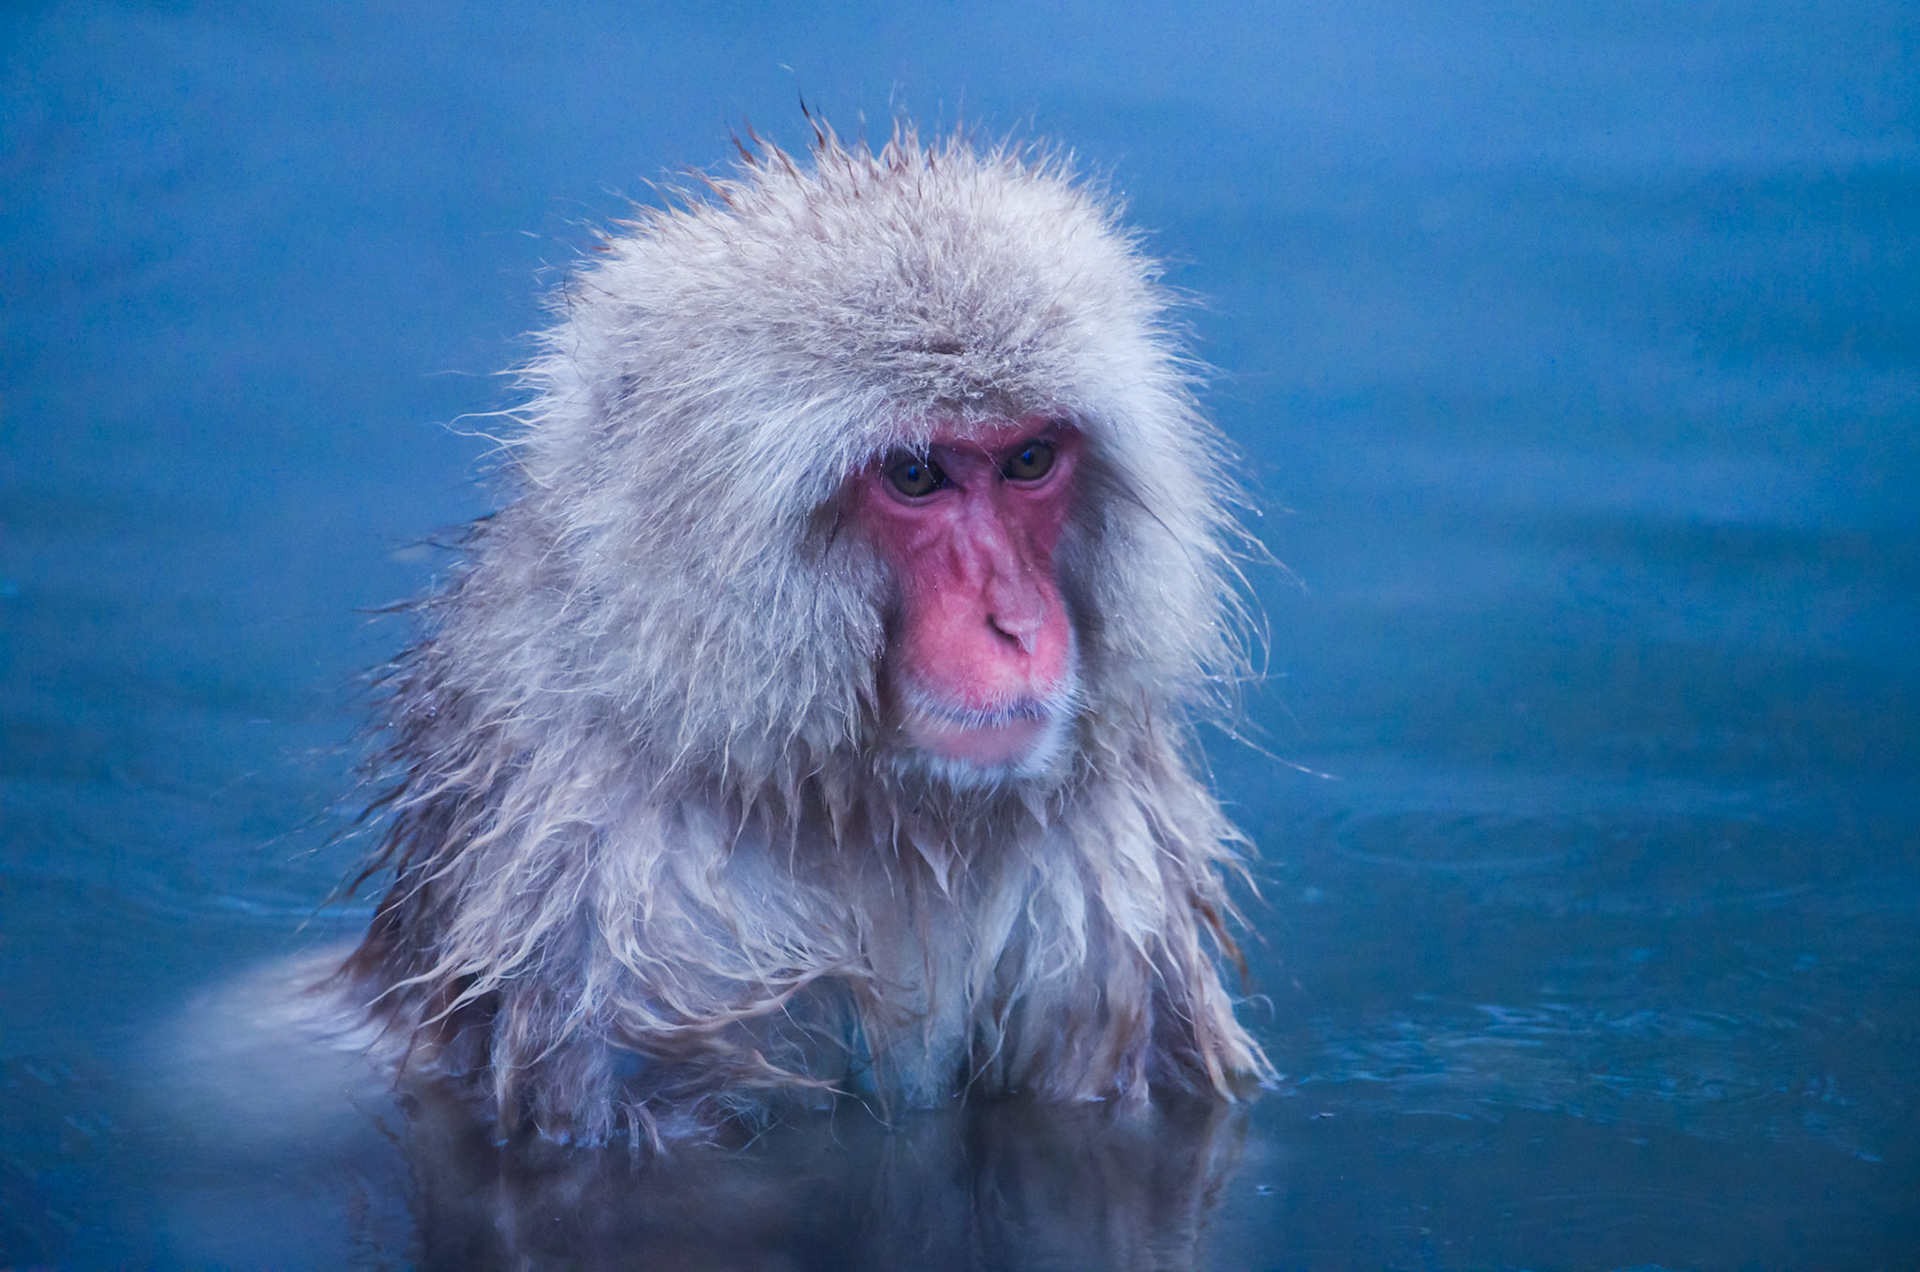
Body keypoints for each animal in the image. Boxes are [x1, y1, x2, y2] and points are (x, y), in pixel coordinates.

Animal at [339, 122, 1272, 1149]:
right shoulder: (609, 903)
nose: (1018, 624)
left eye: (1029, 459)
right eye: (915, 474)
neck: (849, 803)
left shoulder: (1106, 873)